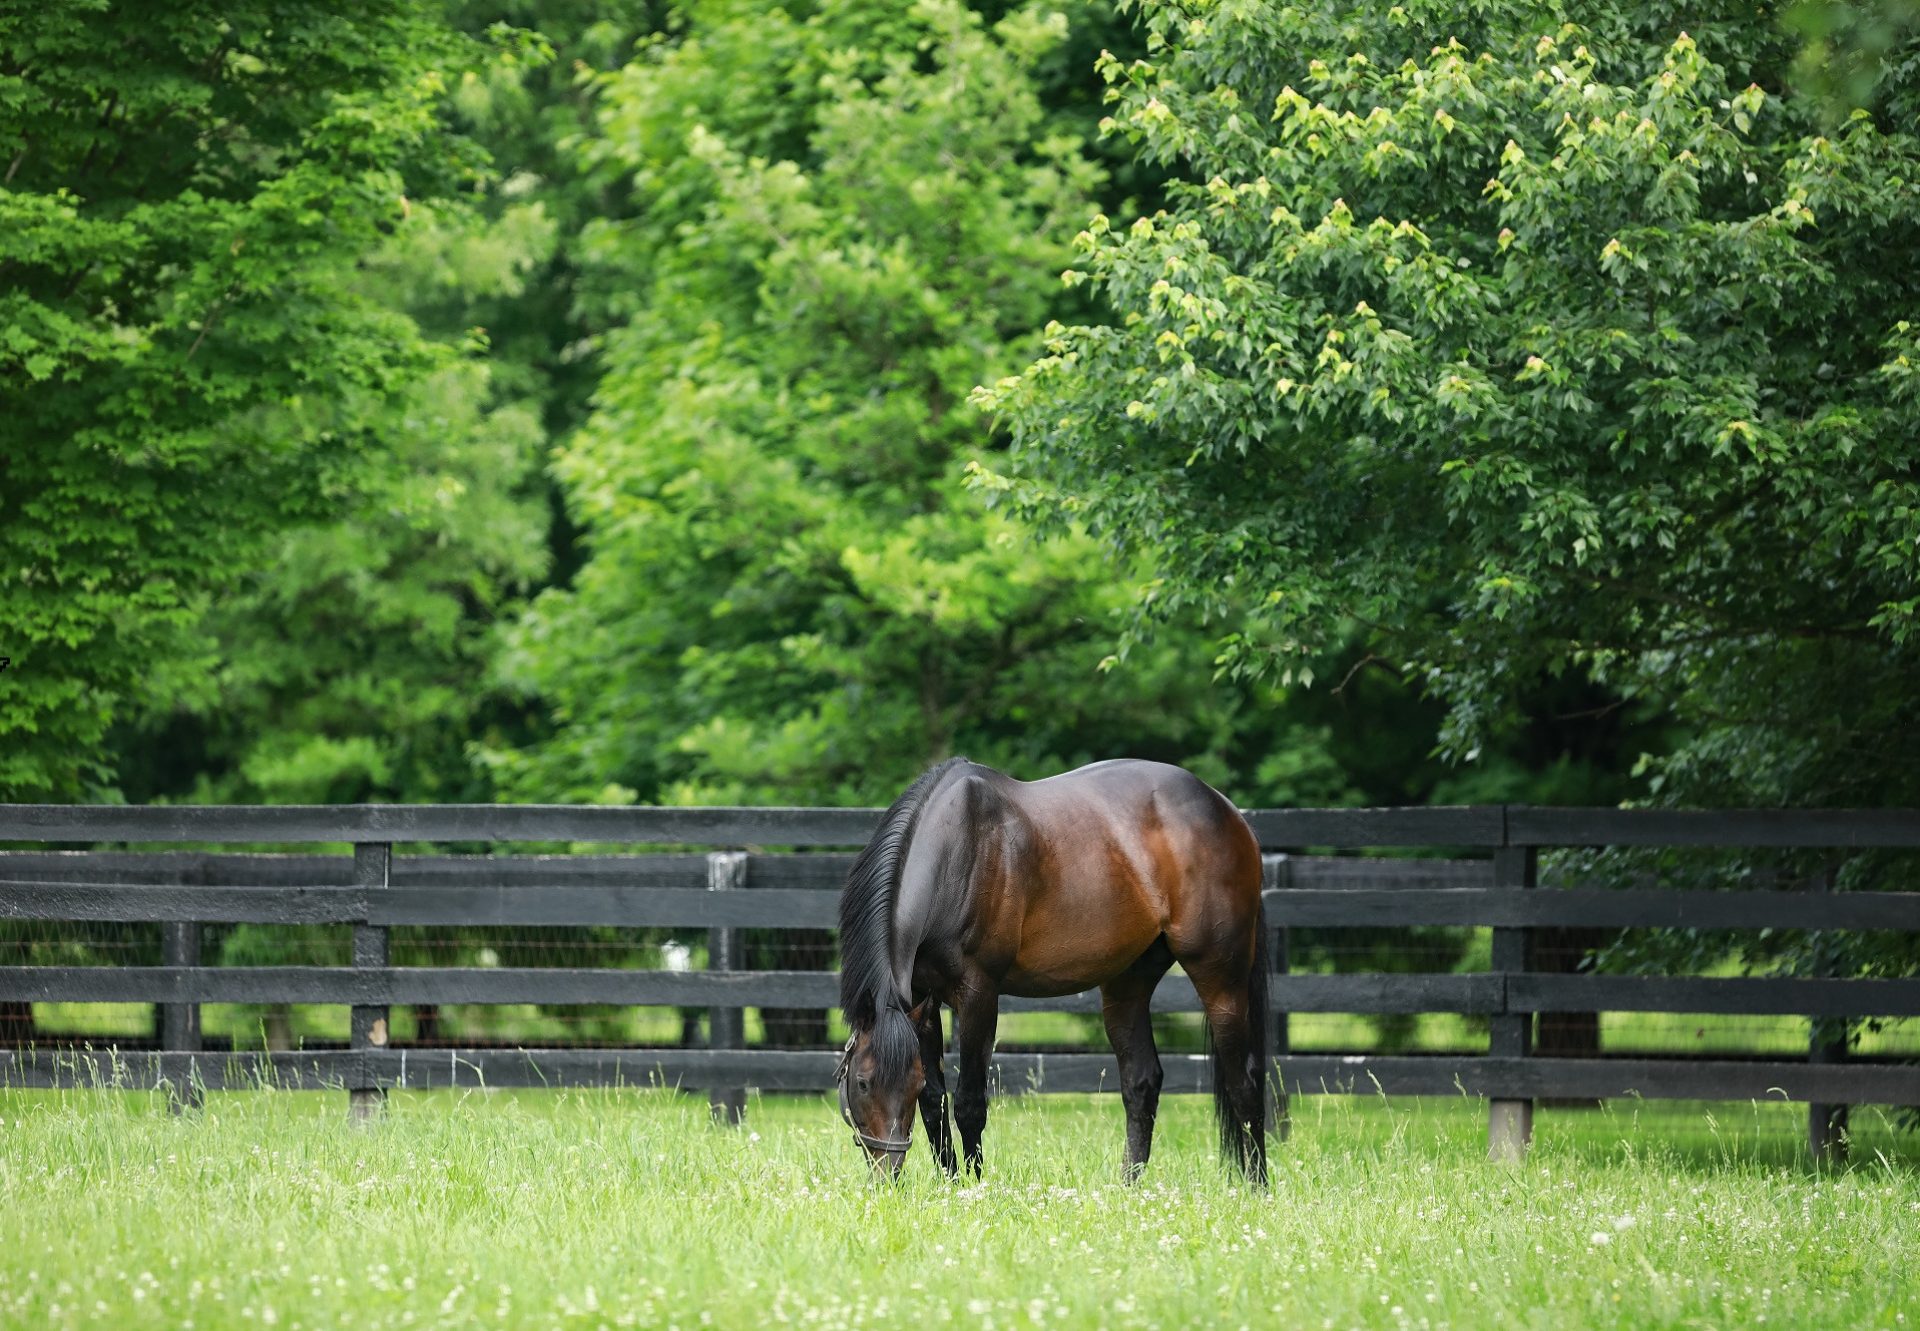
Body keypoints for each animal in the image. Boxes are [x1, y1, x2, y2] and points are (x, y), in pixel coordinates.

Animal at [833, 756, 1267, 1183]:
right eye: (863, 1083)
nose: (886, 1175)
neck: (956, 853)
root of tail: (1228, 811)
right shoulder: (923, 998)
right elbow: (934, 1103)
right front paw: (950, 1182)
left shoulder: (978, 995)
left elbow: (968, 1102)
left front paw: (974, 1186)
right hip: (1128, 983)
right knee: (1142, 1082)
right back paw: (1129, 1186)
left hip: (1220, 977)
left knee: (1244, 1081)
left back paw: (1256, 1185)